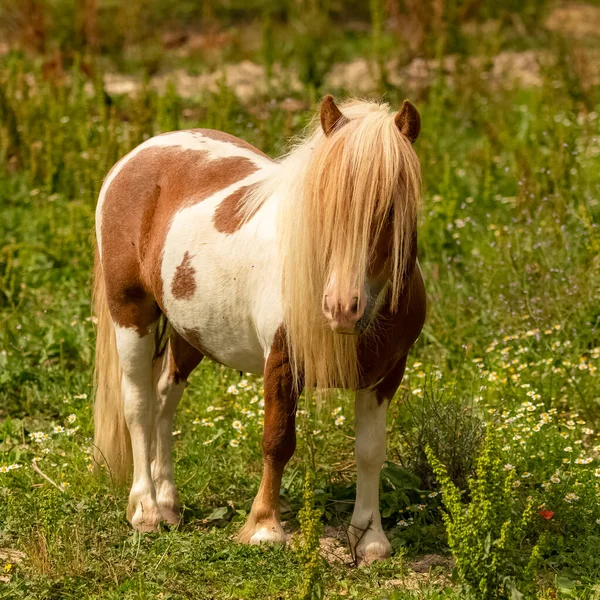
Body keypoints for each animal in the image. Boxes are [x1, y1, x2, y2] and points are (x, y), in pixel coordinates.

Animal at [91, 95, 424, 564]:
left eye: (390, 208)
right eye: (320, 203)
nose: (341, 308)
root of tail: (137, 155)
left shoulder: (387, 374)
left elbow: (370, 451)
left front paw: (369, 538)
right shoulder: (282, 362)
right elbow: (278, 442)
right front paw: (264, 527)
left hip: (188, 333)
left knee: (164, 400)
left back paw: (169, 503)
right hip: (131, 316)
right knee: (138, 406)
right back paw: (147, 511)